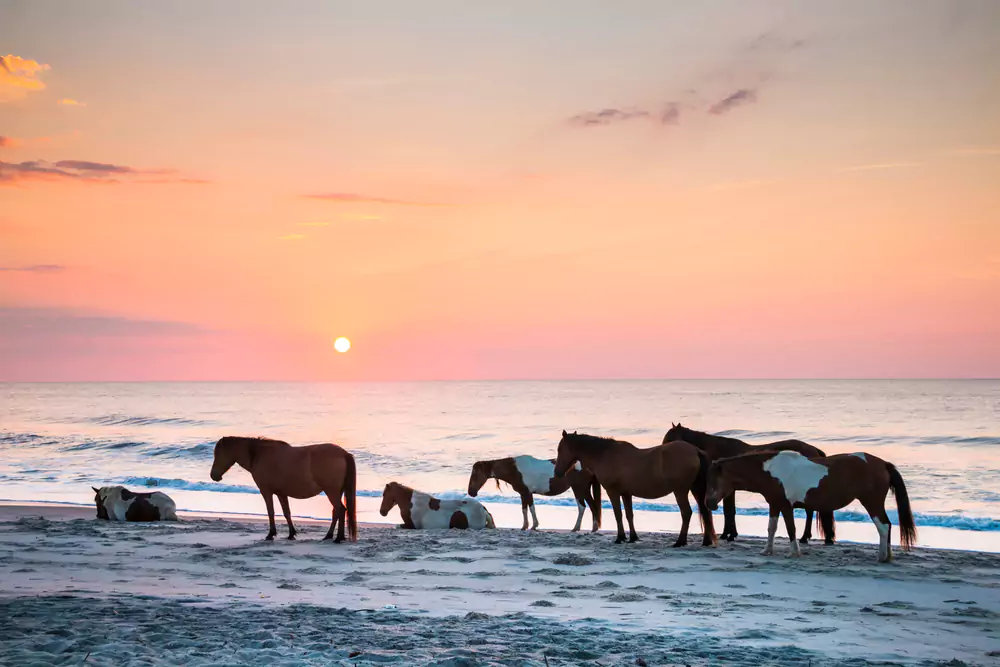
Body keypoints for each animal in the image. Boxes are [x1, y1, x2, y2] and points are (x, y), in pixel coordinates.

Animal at [209, 438, 358, 544]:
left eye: (219, 454)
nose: (213, 476)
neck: (259, 455)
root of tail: (344, 453)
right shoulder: (281, 493)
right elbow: (287, 513)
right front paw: (291, 534)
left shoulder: (266, 491)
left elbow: (271, 512)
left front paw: (271, 534)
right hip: (336, 492)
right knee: (336, 511)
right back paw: (329, 536)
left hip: (331, 491)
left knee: (340, 510)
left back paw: (338, 538)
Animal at [468, 454, 600, 532]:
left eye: (475, 474)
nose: (471, 492)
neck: (515, 470)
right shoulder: (525, 494)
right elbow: (526, 509)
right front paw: (527, 526)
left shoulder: (526, 493)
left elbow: (529, 509)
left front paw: (531, 526)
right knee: (587, 506)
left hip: (580, 488)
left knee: (586, 506)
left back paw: (582, 528)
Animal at [552, 434, 716, 548]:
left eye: (560, 449)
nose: (557, 473)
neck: (605, 454)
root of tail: (695, 450)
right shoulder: (626, 493)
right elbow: (629, 515)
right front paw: (632, 537)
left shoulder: (613, 492)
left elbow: (618, 514)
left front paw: (620, 537)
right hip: (695, 489)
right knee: (704, 512)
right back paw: (706, 541)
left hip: (680, 491)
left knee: (686, 513)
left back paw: (680, 542)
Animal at [664, 426, 836, 544]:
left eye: (669, 438)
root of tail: (814, 450)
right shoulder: (728, 490)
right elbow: (729, 511)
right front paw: (729, 534)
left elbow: (729, 511)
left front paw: (728, 534)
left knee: (809, 512)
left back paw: (804, 537)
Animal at [704, 448, 916, 564]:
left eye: (713, 481)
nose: (708, 503)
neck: (771, 471)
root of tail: (883, 464)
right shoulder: (774, 504)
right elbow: (772, 528)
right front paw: (767, 551)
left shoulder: (785, 505)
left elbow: (790, 528)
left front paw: (794, 552)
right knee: (887, 526)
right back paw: (887, 556)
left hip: (871, 502)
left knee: (883, 526)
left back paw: (881, 557)